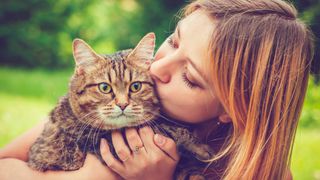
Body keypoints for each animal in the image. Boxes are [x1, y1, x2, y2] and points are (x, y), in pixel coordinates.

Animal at [27, 33, 212, 179]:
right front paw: (200, 147)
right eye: (104, 88)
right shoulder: (96, 139)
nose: (123, 104)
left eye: (136, 86)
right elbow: (166, 129)